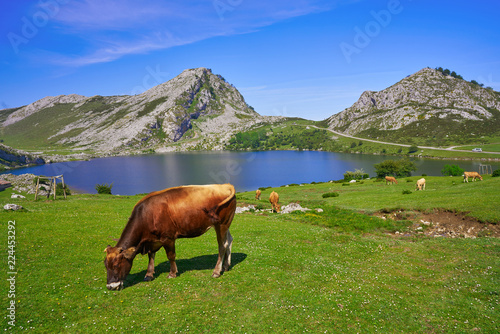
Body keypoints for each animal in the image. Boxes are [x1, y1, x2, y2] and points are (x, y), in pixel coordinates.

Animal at [103, 183, 236, 290]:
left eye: (116, 265)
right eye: (105, 265)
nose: (110, 286)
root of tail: (225, 185)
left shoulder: (168, 238)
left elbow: (171, 256)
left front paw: (172, 273)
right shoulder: (152, 240)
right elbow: (151, 255)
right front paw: (149, 274)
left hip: (221, 224)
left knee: (222, 246)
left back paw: (216, 271)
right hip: (226, 224)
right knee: (229, 240)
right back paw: (226, 266)